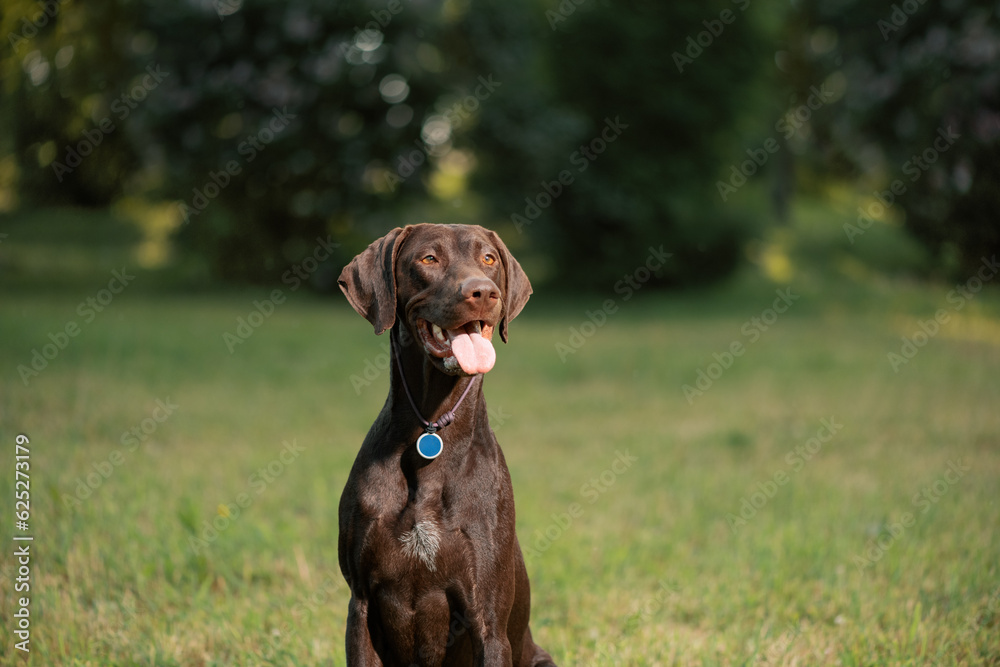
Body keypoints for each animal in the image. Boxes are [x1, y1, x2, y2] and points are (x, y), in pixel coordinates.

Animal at [336, 226, 556, 667]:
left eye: (489, 259)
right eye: (429, 259)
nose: (483, 291)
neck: (430, 427)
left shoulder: (487, 619)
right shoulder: (361, 606)